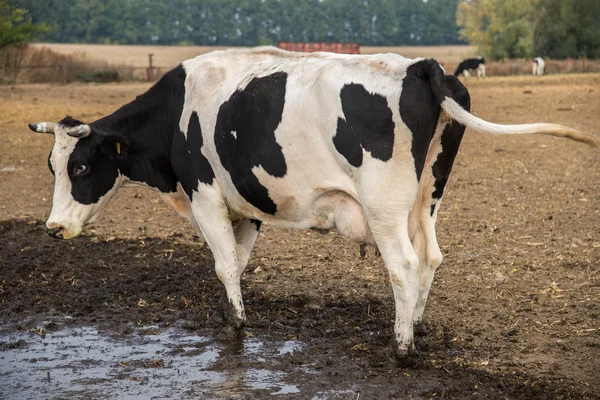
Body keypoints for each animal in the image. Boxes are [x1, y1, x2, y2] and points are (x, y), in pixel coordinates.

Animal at [27, 47, 596, 366]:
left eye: (81, 168)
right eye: (51, 167)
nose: (53, 228)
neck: (177, 112)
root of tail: (420, 65)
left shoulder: (205, 194)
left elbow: (223, 263)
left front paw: (236, 326)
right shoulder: (248, 204)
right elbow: (239, 263)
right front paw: (233, 313)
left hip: (386, 208)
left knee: (404, 265)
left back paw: (402, 348)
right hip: (427, 198)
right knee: (431, 258)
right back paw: (418, 326)